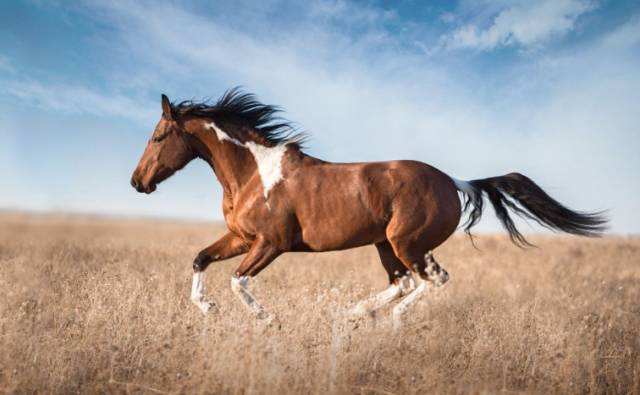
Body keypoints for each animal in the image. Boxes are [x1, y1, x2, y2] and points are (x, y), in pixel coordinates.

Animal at [130, 90, 604, 328]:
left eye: (157, 136)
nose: (137, 182)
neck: (253, 173)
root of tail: (455, 181)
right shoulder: (241, 237)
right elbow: (200, 259)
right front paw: (207, 309)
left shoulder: (271, 243)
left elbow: (237, 281)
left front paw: (267, 319)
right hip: (385, 245)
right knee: (403, 282)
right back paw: (354, 313)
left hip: (407, 243)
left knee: (431, 281)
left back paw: (388, 320)